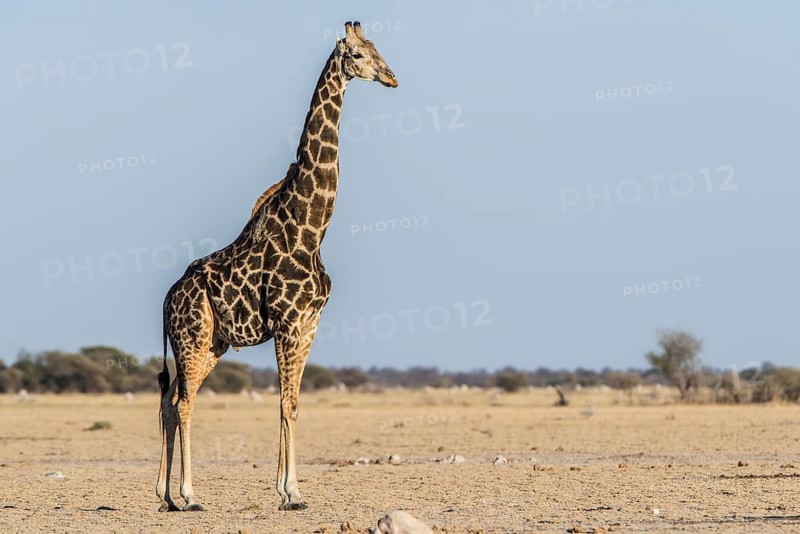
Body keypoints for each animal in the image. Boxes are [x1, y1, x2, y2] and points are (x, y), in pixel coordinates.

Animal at [155, 21, 397, 512]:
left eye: (377, 48)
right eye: (358, 55)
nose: (391, 77)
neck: (312, 229)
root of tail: (166, 299)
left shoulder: (309, 323)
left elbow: (292, 403)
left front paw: (288, 490)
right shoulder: (286, 322)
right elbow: (285, 403)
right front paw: (292, 492)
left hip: (212, 344)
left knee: (170, 400)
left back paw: (165, 496)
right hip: (192, 338)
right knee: (183, 402)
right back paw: (188, 495)